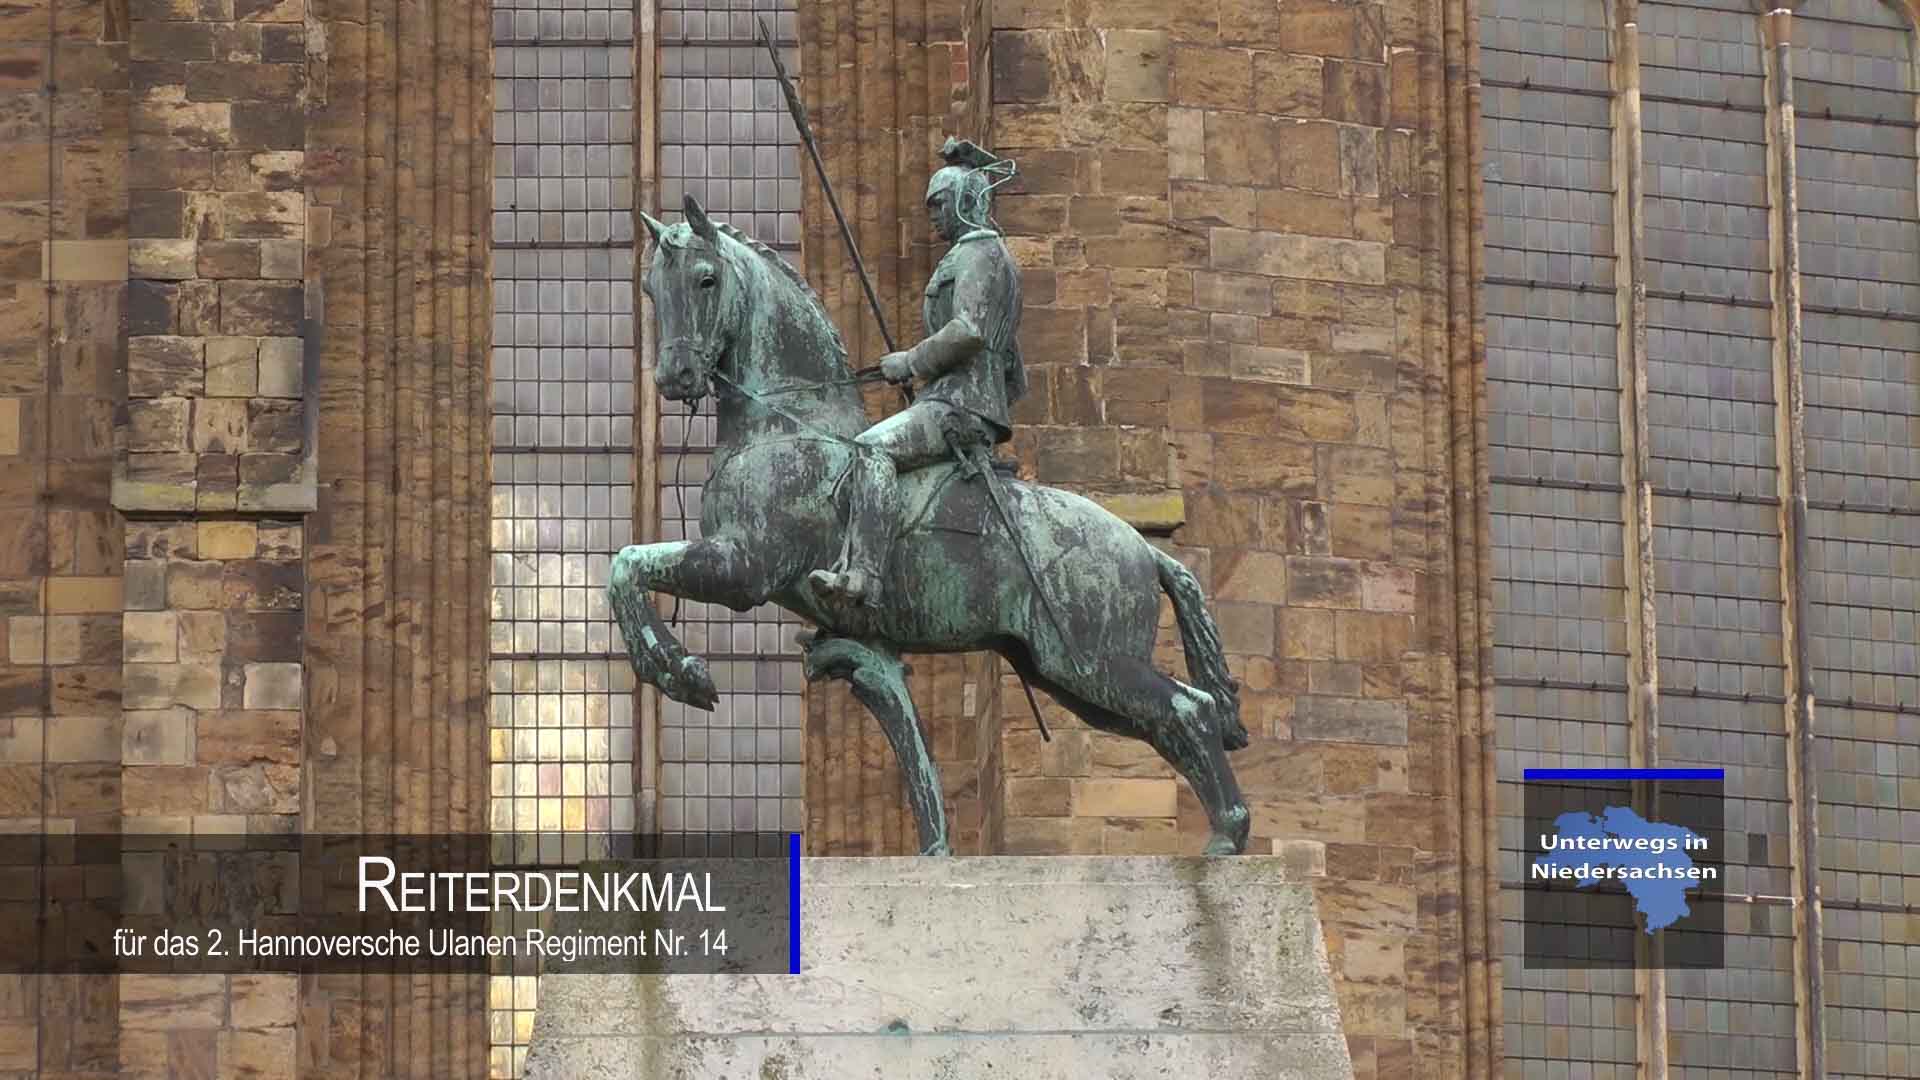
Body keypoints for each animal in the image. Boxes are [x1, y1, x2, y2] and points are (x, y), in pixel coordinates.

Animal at [606, 191, 1251, 849]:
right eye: (651, 288)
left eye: (706, 278)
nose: (674, 378)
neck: (787, 424)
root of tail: (1143, 549)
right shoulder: (861, 640)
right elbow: (910, 741)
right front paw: (936, 846)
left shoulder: (745, 566)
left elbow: (626, 565)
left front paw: (678, 670)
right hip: (1068, 674)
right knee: (1175, 720)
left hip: (1093, 661)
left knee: (1192, 711)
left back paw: (1226, 837)